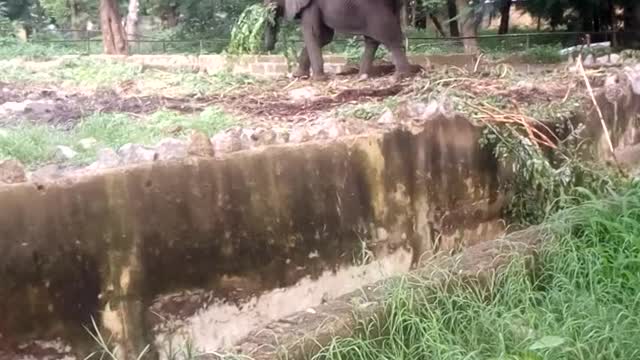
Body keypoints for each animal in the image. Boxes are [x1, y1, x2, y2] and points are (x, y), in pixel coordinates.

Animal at [262, 0, 416, 81]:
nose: (269, 47)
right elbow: (324, 37)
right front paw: (298, 76)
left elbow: (314, 33)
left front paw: (318, 80)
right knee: (372, 40)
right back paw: (362, 76)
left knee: (389, 37)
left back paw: (400, 76)